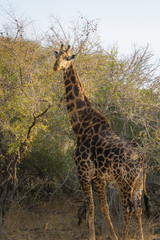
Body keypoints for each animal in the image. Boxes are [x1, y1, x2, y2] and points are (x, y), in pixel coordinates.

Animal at [53, 43, 149, 240]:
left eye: (67, 58)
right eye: (56, 56)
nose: (56, 66)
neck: (80, 126)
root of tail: (142, 158)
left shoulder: (83, 171)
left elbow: (90, 208)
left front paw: (92, 237)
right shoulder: (99, 177)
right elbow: (104, 208)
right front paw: (113, 236)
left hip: (124, 181)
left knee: (128, 208)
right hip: (138, 182)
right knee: (138, 209)